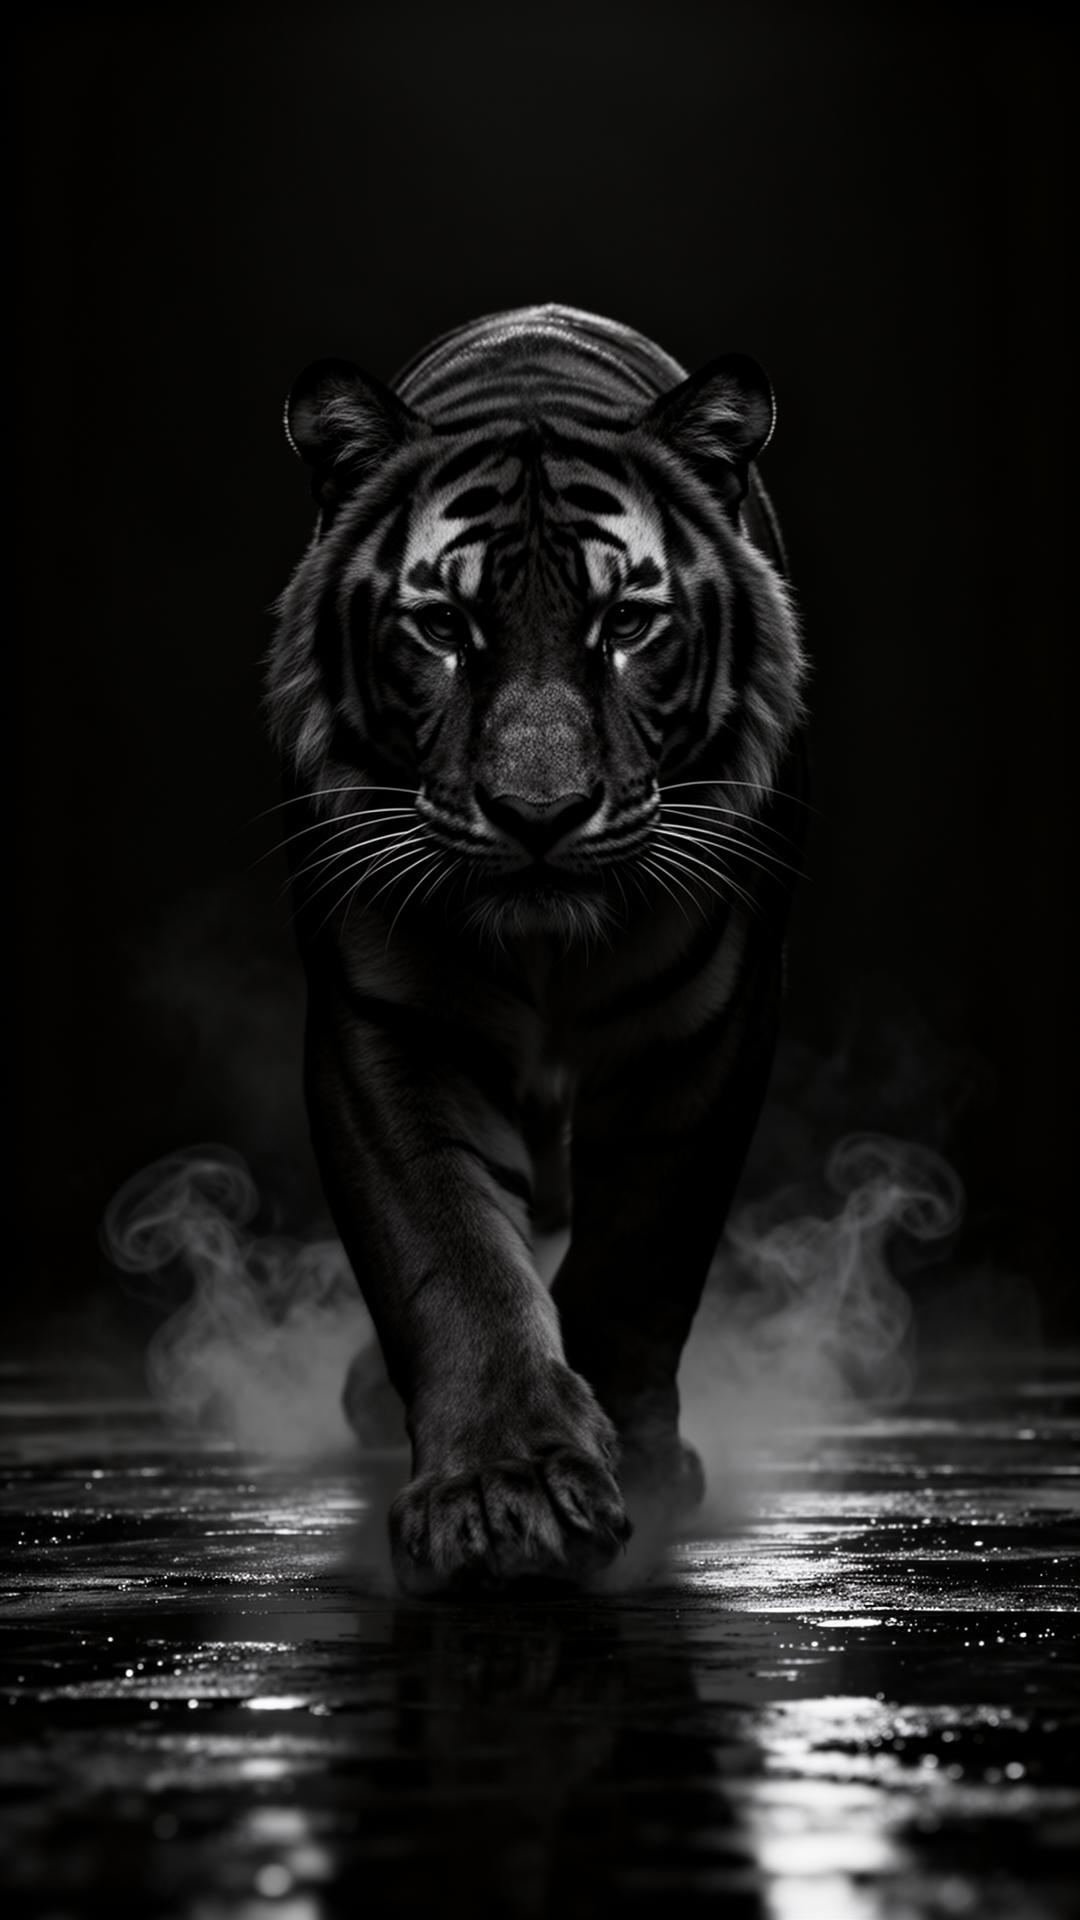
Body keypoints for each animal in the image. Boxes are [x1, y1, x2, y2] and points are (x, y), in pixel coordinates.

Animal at [266, 303, 807, 1595]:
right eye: (443, 628)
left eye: (627, 625)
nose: (539, 815)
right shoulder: (387, 1025)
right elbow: (450, 1255)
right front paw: (504, 1495)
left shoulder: (704, 1032)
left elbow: (637, 1253)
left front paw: (638, 1466)